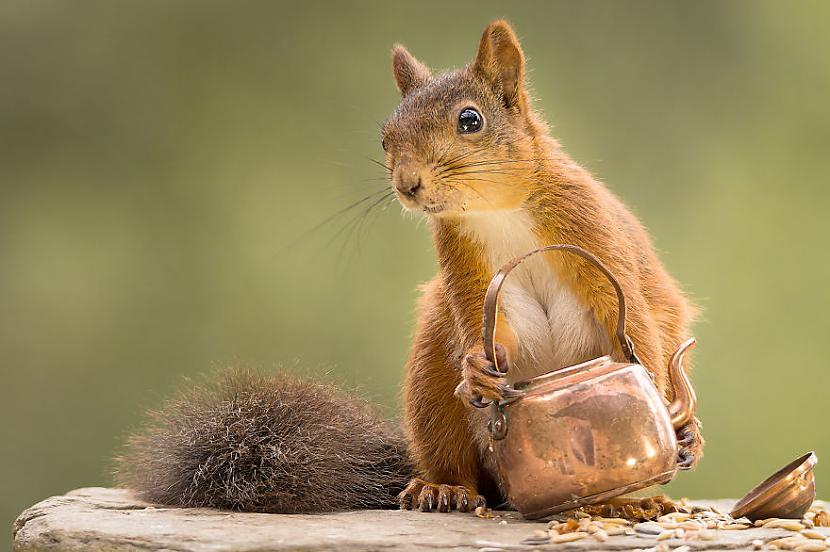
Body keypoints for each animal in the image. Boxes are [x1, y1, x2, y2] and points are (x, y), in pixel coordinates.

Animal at [117, 20, 704, 512]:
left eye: (470, 120)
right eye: (385, 138)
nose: (407, 184)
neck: (497, 211)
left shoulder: (591, 232)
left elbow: (633, 322)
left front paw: (664, 410)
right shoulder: (463, 265)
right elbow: (489, 328)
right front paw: (478, 367)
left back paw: (635, 495)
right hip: (432, 378)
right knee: (457, 458)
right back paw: (443, 488)